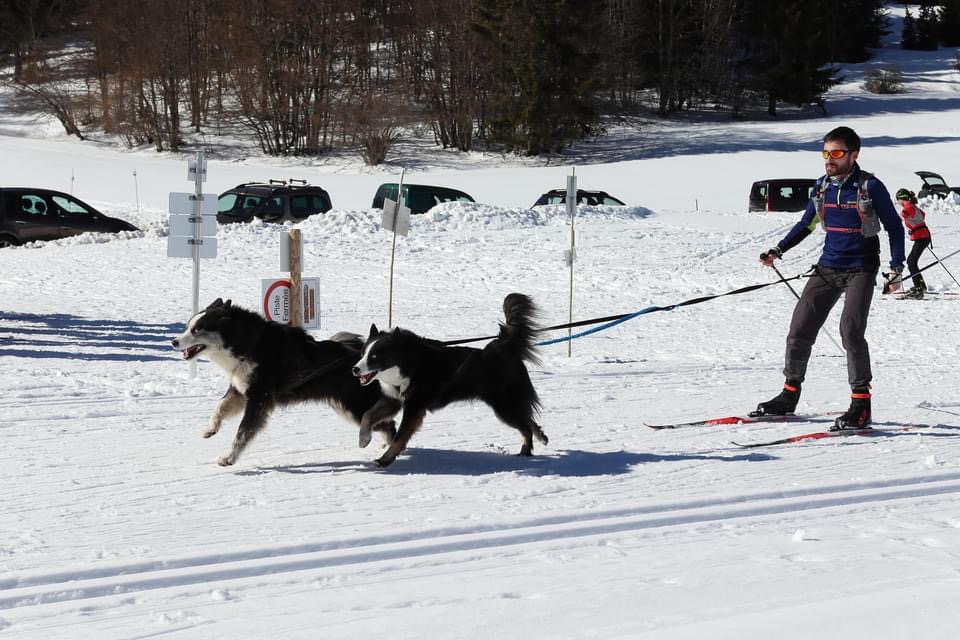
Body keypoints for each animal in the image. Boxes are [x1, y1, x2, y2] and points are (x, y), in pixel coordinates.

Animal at [171, 300, 400, 464]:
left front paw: (229, 458)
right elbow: (219, 407)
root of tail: (362, 359)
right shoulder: (240, 390)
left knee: (387, 423)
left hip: (354, 408)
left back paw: (390, 446)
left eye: (197, 329)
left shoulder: (259, 398)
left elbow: (243, 432)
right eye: (187, 326)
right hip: (345, 408)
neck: (251, 345)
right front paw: (211, 428)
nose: (173, 341)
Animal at [350, 292, 548, 468]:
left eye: (374, 356)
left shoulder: (414, 406)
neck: (410, 364)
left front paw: (384, 460)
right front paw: (364, 439)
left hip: (504, 405)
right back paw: (541, 437)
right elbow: (368, 415)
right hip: (508, 403)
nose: (355, 369)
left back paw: (525, 451)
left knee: (525, 425)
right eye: (362, 353)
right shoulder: (394, 399)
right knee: (527, 417)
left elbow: (399, 437)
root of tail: (503, 348)